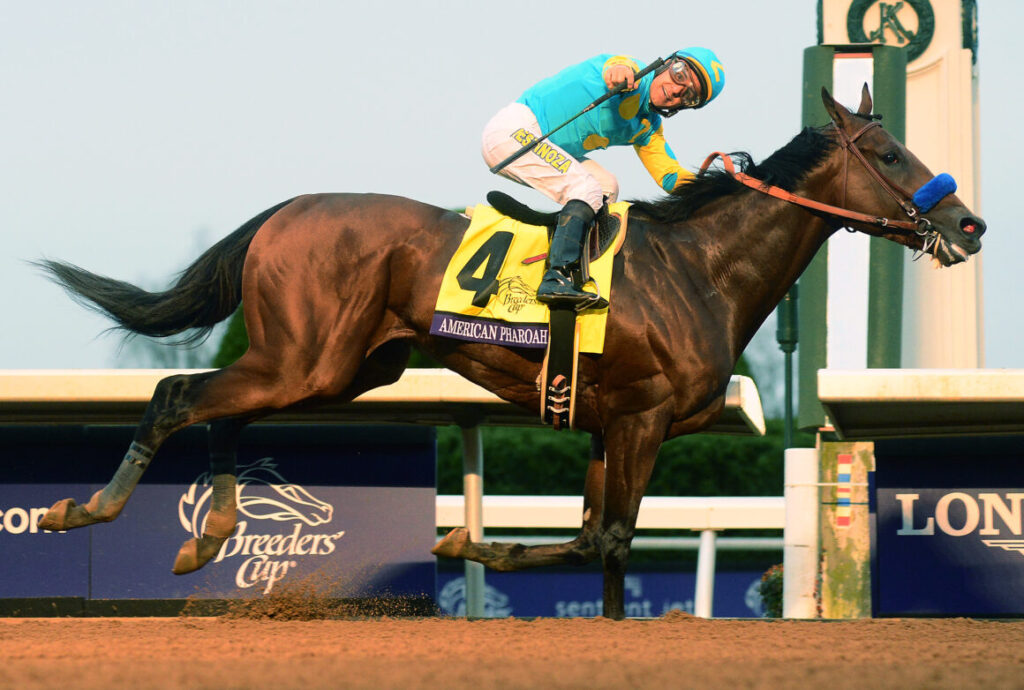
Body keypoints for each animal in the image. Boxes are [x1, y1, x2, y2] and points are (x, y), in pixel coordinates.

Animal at [35, 87, 984, 619]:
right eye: (890, 153)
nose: (969, 223)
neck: (699, 267)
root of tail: (287, 210)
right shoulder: (641, 419)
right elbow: (603, 539)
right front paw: (463, 543)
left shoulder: (609, 422)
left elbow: (606, 542)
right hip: (308, 358)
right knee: (176, 394)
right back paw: (82, 510)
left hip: (337, 368)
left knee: (219, 411)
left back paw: (210, 536)